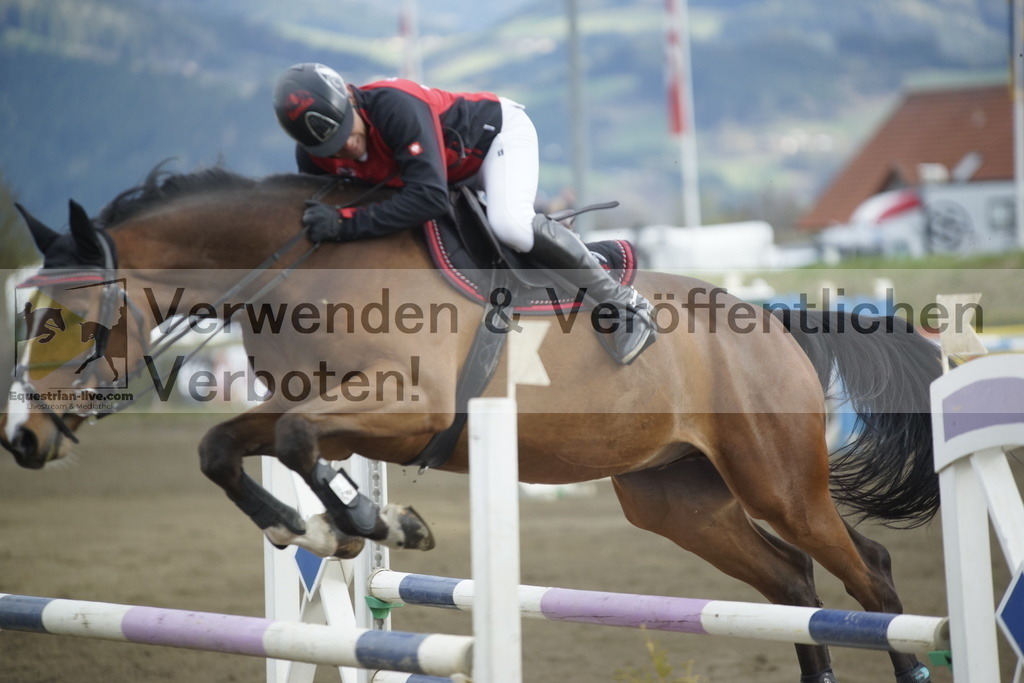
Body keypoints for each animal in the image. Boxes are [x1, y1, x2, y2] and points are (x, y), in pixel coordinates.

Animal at [2, 166, 942, 683]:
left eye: (69, 320)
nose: (23, 438)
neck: (306, 264)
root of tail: (774, 318)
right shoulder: (330, 408)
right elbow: (227, 445)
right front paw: (319, 526)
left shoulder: (403, 404)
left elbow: (297, 443)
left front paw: (373, 522)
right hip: (677, 498)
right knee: (790, 582)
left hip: (777, 482)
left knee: (869, 574)